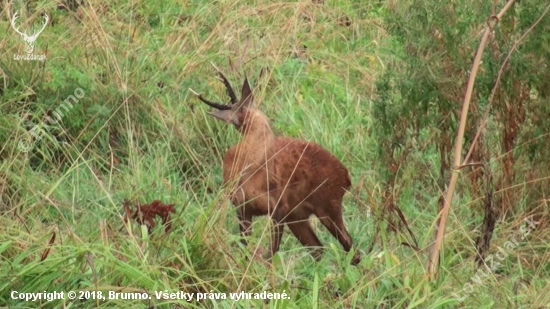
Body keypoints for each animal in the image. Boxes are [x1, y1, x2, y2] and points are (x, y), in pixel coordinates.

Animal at [194, 70, 362, 264]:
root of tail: (346, 178)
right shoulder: (242, 208)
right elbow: (247, 249)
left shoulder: (278, 207)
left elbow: (270, 254)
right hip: (298, 216)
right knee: (319, 249)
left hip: (327, 207)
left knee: (349, 247)